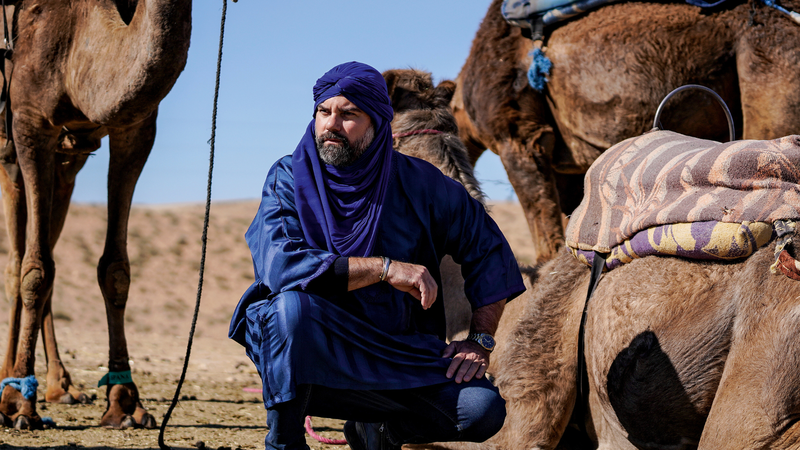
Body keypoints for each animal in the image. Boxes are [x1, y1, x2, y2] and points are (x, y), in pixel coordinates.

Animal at [0, 0, 191, 428]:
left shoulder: (135, 128)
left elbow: (115, 271)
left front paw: (125, 403)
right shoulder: (29, 122)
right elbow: (33, 271)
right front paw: (17, 404)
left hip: (66, 165)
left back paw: (61, 387)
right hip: (9, 156)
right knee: (18, 260)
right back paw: (8, 380)